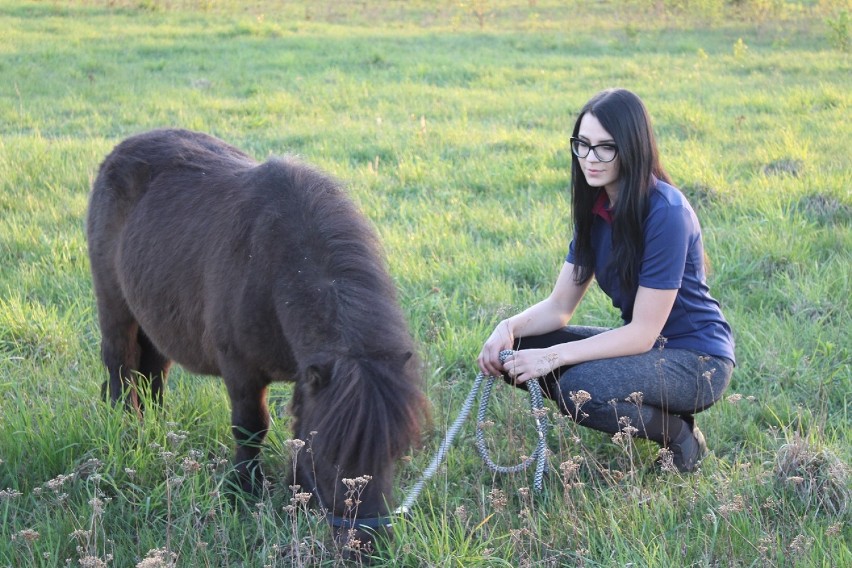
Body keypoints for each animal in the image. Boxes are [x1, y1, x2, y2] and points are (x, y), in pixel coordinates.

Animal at [88, 129, 426, 544]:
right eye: (330, 455)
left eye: (395, 451)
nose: (365, 542)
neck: (275, 264)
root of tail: (123, 148)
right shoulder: (241, 370)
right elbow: (251, 427)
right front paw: (244, 488)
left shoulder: (308, 373)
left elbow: (299, 424)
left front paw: (298, 490)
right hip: (115, 305)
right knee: (119, 364)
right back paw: (130, 429)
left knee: (153, 371)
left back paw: (157, 427)